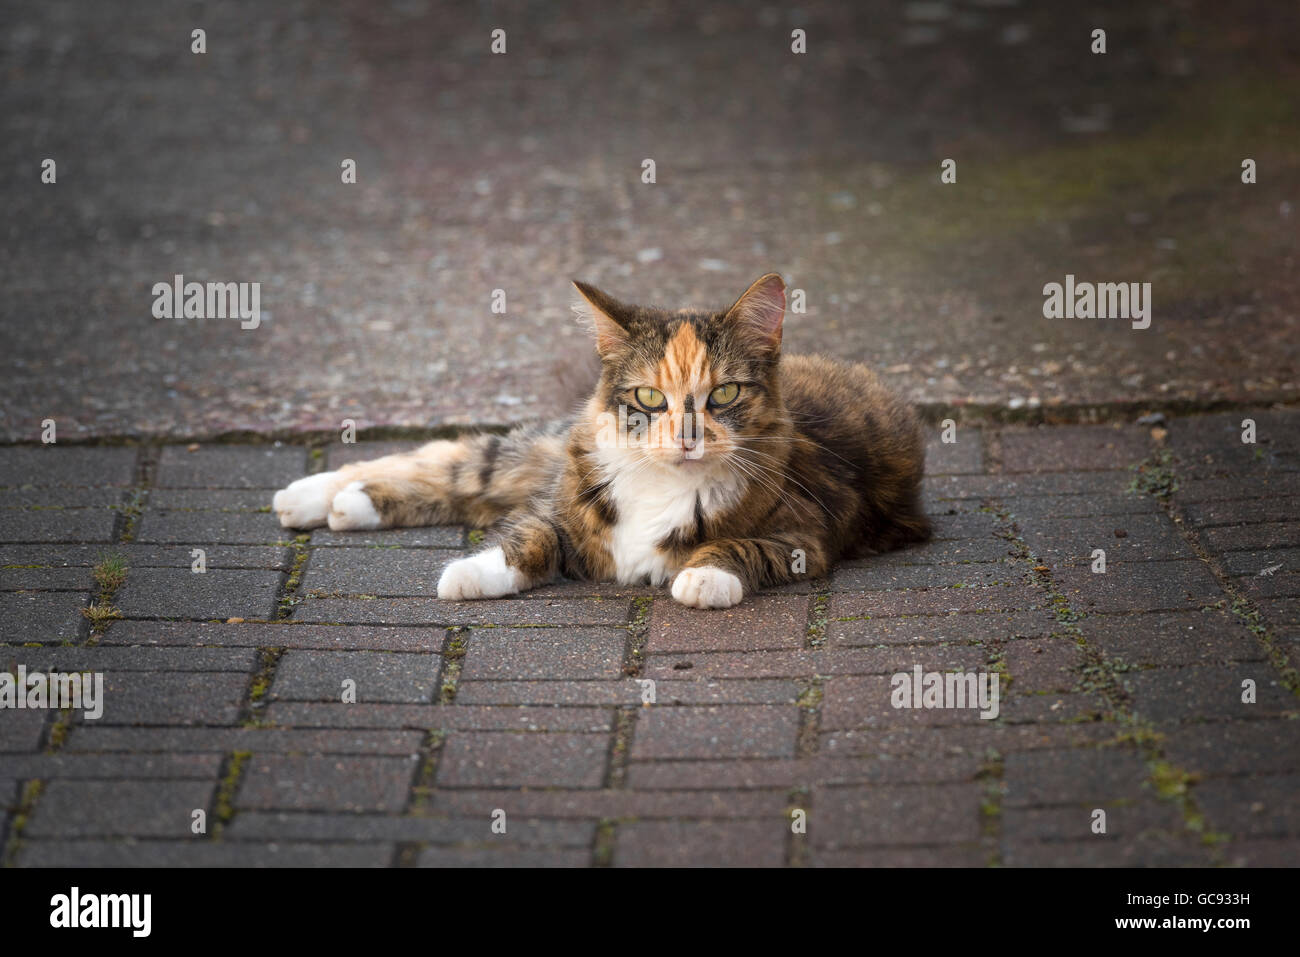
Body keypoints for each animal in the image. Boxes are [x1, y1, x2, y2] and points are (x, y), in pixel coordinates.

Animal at [271, 273, 925, 608]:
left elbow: (740, 547)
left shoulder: (807, 534)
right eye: (650, 398)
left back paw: (344, 503)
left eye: (725, 394)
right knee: (457, 461)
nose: (687, 438)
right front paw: (471, 573)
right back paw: (314, 495)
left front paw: (703, 578)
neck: (662, 484)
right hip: (550, 454)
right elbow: (530, 536)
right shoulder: (566, 508)